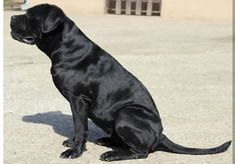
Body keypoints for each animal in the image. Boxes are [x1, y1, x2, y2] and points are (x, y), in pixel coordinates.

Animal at [10, 3, 230, 161]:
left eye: (29, 15)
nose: (11, 17)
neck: (66, 46)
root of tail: (160, 135)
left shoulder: (78, 99)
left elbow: (80, 126)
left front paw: (75, 151)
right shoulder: (78, 103)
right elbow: (80, 125)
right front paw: (73, 144)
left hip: (126, 114)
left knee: (142, 152)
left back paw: (111, 154)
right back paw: (107, 141)